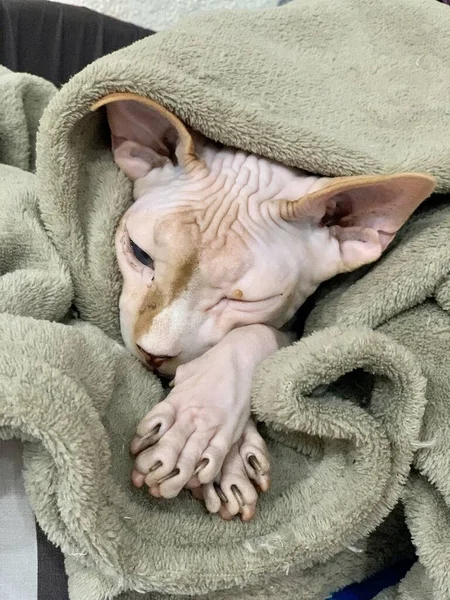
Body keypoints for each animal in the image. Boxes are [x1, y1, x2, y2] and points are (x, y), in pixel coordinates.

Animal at [95, 92, 436, 520]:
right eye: (140, 253)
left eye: (250, 300)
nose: (152, 353)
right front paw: (225, 457)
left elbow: (258, 335)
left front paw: (196, 419)